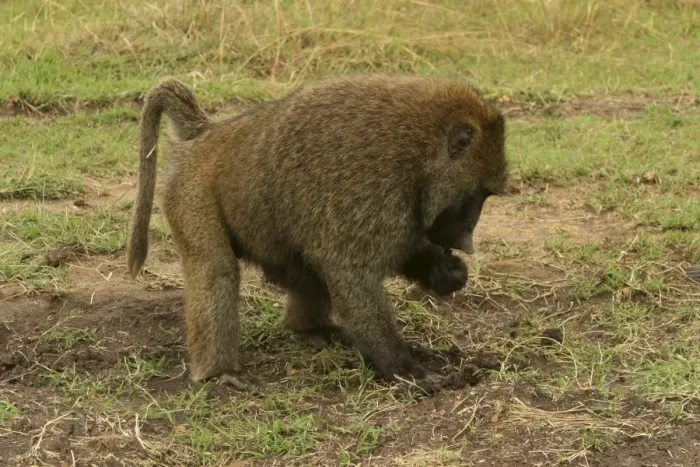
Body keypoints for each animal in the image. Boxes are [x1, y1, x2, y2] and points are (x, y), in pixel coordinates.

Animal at [126, 74, 508, 390]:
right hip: (190, 192)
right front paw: (405, 369)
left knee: (305, 267)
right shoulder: (372, 193)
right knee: (216, 269)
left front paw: (445, 271)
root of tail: (207, 134)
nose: (466, 242)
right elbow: (352, 278)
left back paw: (308, 329)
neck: (420, 153)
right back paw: (218, 373)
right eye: (479, 194)